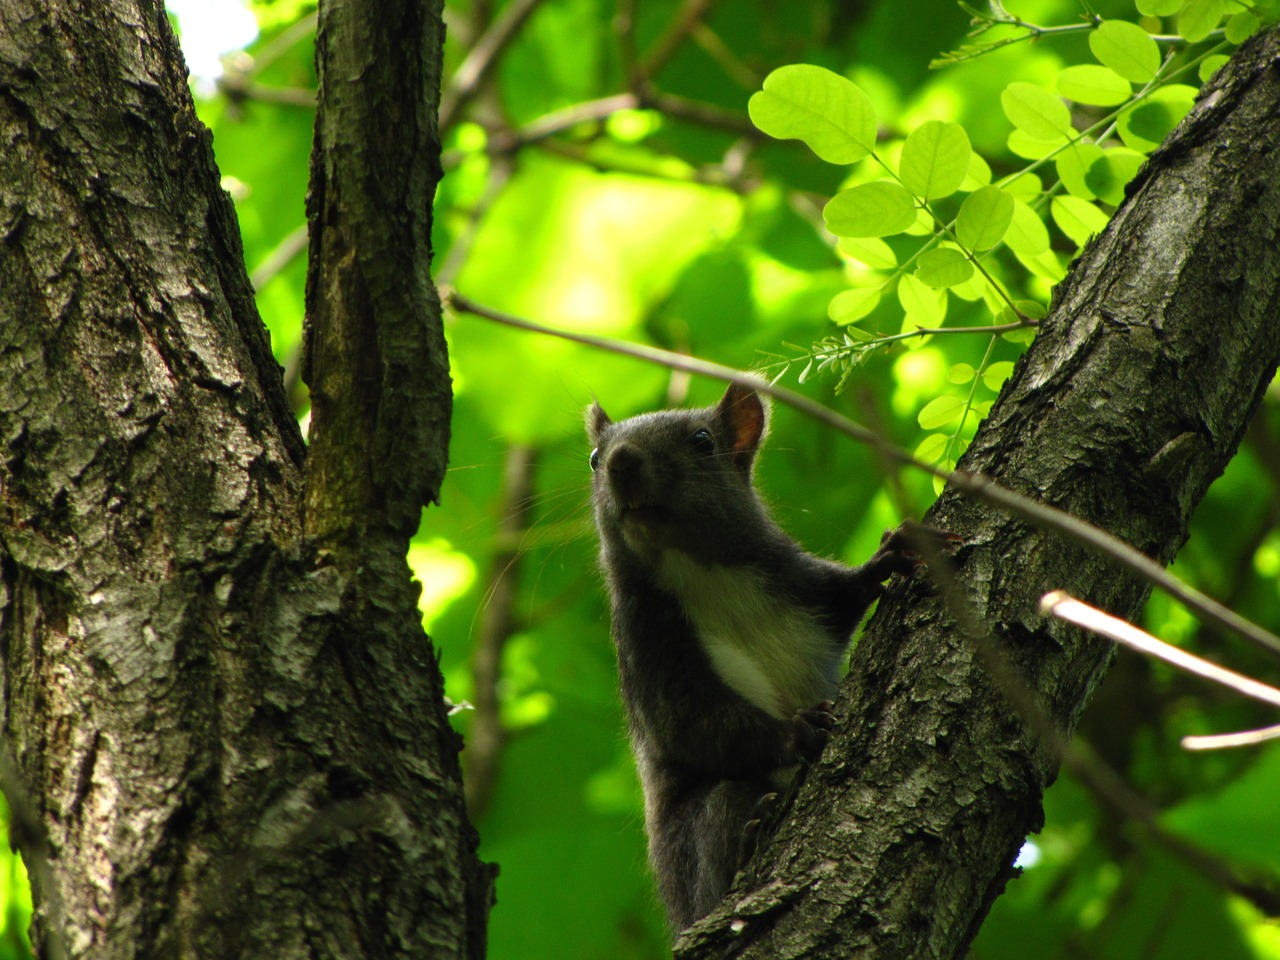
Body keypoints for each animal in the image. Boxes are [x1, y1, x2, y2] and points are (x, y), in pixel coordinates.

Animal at [586, 381, 931, 931]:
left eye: (703, 441)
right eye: (594, 459)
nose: (619, 461)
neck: (700, 570)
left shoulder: (796, 583)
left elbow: (843, 596)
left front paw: (887, 558)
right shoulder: (645, 642)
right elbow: (688, 723)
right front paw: (798, 732)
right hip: (696, 850)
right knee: (723, 817)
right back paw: (749, 841)